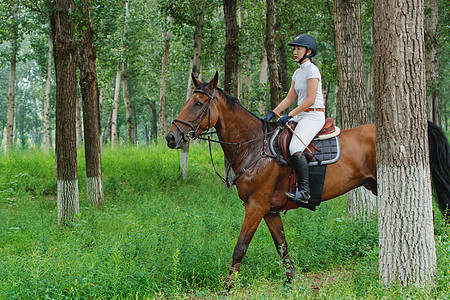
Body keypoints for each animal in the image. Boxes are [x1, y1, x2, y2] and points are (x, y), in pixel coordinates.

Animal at [165, 72, 450, 288]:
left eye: (198, 104)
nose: (171, 137)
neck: (254, 146)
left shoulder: (255, 207)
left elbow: (240, 248)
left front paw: (227, 287)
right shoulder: (269, 211)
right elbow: (282, 247)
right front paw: (290, 283)